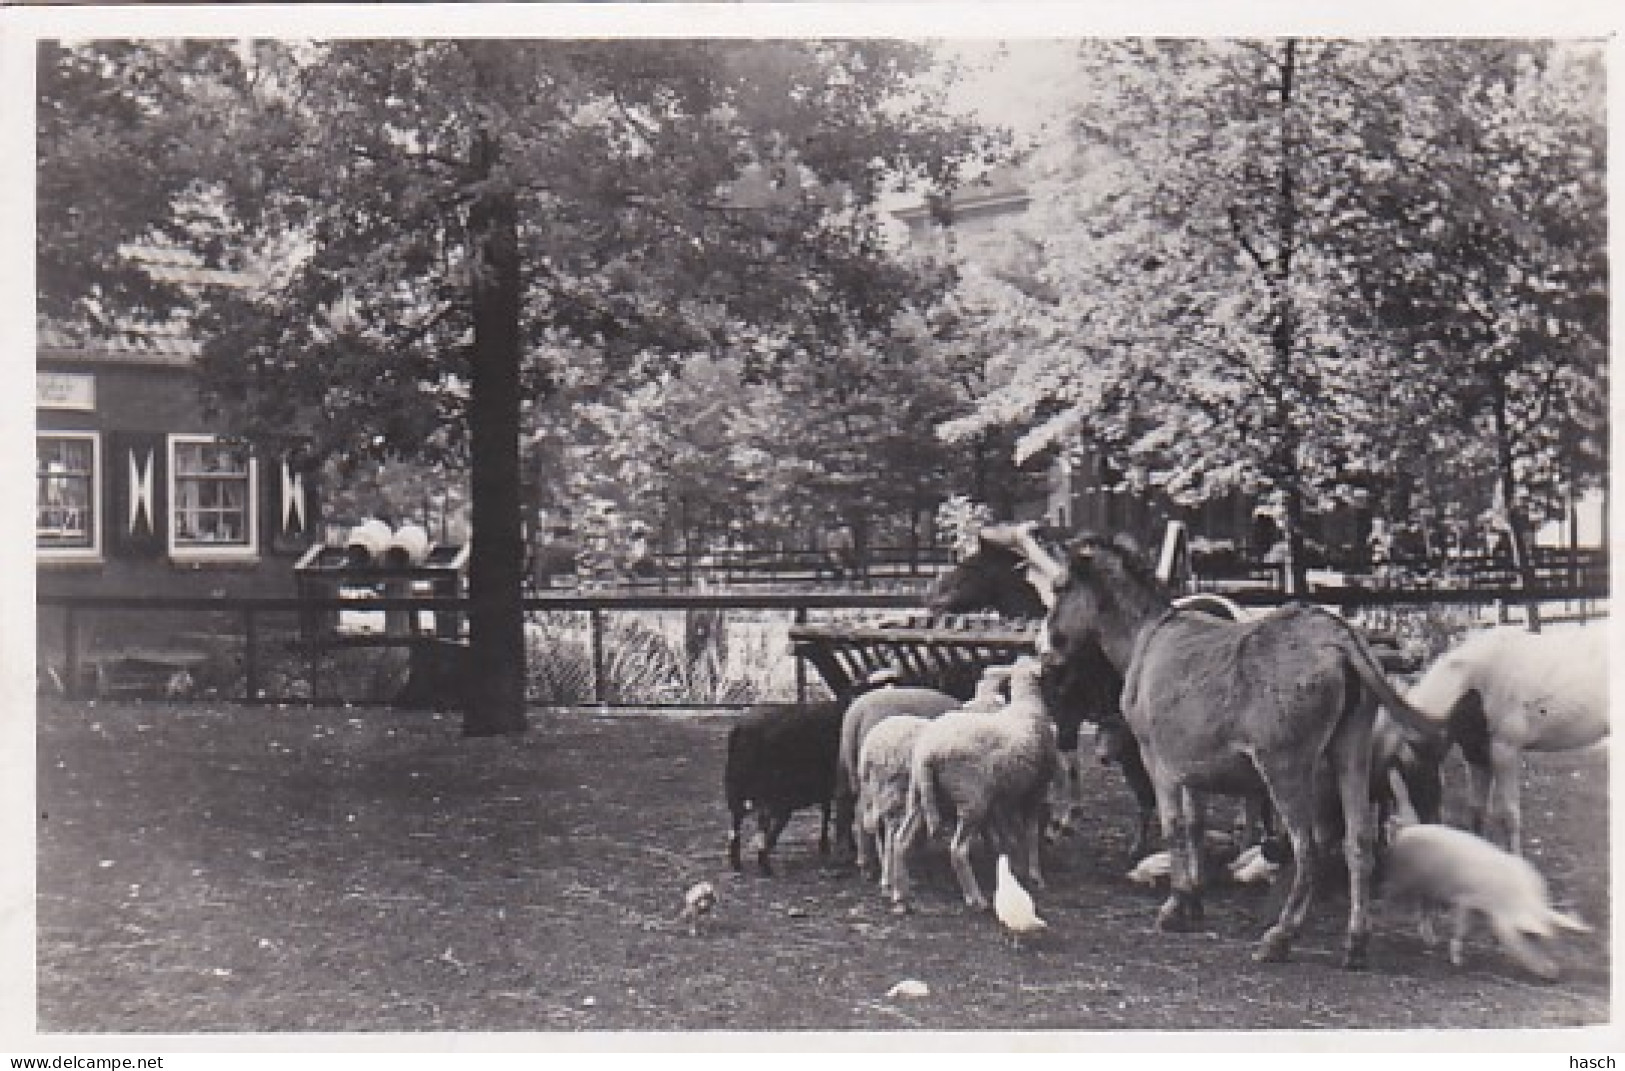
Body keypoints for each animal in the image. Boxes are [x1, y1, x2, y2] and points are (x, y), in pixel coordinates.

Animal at [728, 698, 845, 877]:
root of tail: (742, 728)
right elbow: (828, 812)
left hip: (737, 789)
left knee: (736, 822)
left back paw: (738, 862)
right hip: (764, 791)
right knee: (762, 821)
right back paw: (765, 864)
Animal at [884, 653, 1059, 916]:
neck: (1027, 706)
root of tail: (927, 752)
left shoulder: (1006, 796)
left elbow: (1011, 834)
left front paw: (1015, 864)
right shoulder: (1035, 789)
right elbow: (1029, 832)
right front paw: (1036, 875)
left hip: (921, 796)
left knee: (900, 840)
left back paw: (901, 896)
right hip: (971, 797)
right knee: (957, 850)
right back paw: (975, 898)